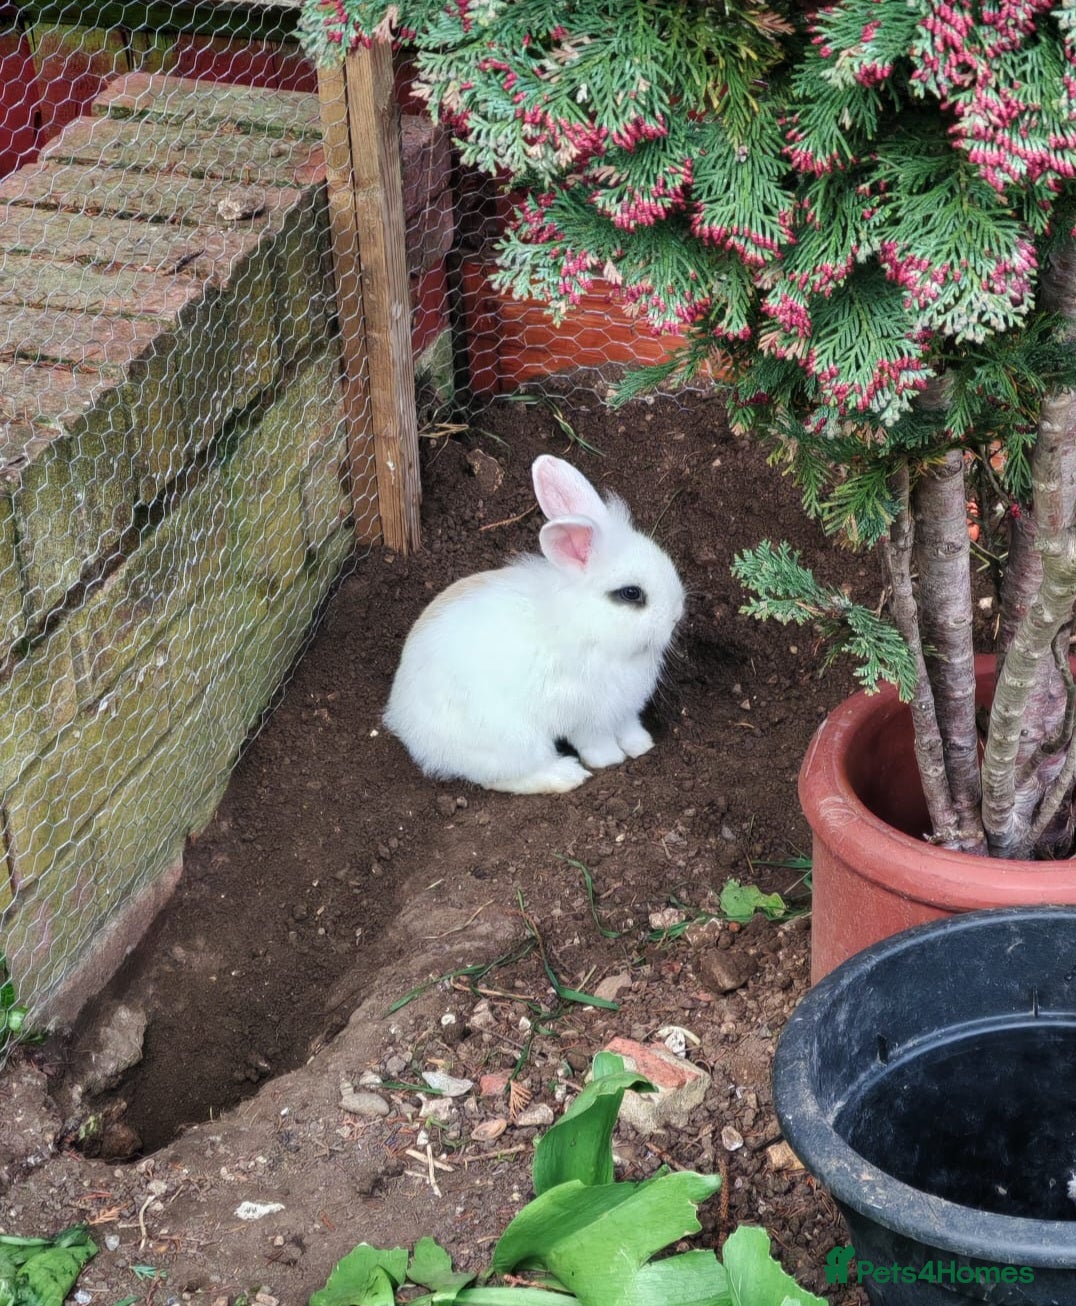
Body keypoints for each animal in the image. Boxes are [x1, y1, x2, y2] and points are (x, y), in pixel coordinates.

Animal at [383, 454, 685, 793]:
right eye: (631, 594)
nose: (677, 614)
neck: (589, 626)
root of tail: (403, 721)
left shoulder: (624, 712)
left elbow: (630, 729)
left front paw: (642, 746)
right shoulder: (587, 719)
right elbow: (596, 744)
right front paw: (610, 761)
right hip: (514, 740)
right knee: (503, 777)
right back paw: (566, 775)